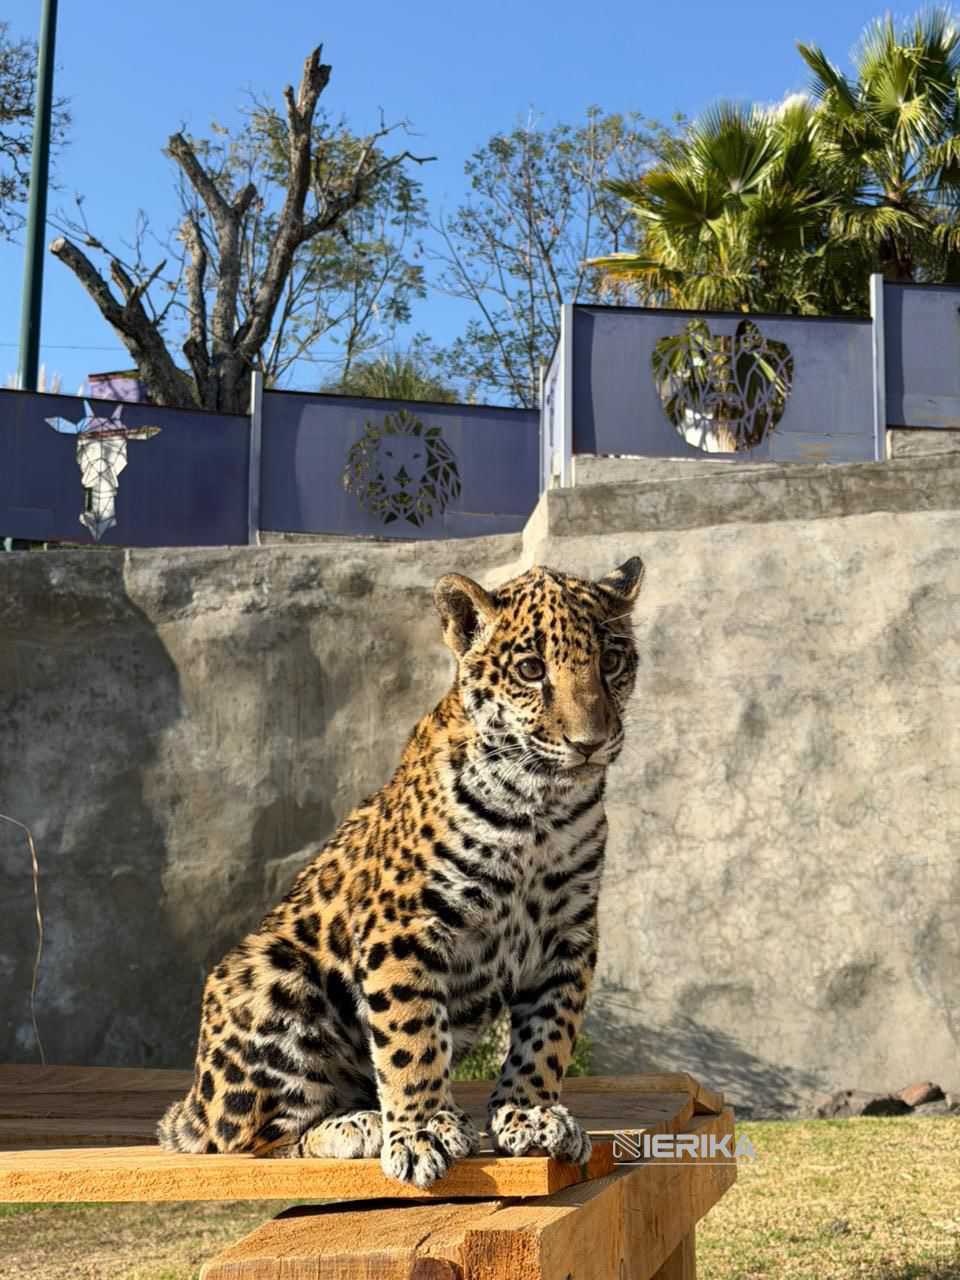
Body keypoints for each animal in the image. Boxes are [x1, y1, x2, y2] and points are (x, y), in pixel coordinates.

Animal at [158, 556, 645, 1188]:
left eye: (610, 661)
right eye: (531, 669)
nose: (590, 742)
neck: (541, 807)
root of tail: (193, 1101)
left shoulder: (569, 935)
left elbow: (548, 1034)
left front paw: (530, 1114)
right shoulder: (404, 928)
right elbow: (411, 1037)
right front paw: (420, 1130)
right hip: (264, 973)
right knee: (255, 1141)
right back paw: (360, 1126)